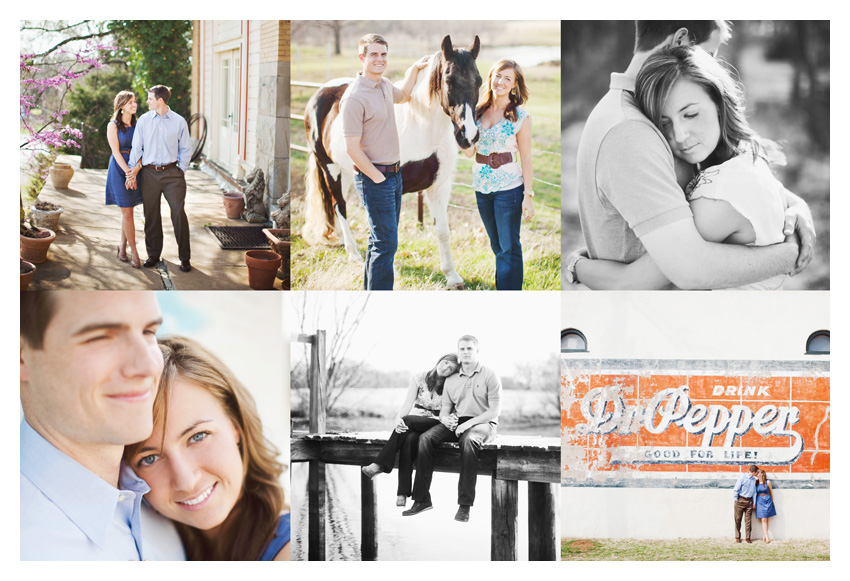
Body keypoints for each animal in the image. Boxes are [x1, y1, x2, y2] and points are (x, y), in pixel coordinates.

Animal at [304, 35, 480, 288]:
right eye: (449, 79)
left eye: (479, 81)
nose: (469, 136)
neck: (422, 127)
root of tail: (319, 94)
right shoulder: (393, 189)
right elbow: (390, 232)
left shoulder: (439, 186)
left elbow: (443, 231)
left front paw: (452, 277)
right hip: (329, 167)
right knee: (340, 205)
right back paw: (353, 252)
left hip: (346, 171)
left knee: (338, 203)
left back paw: (341, 239)